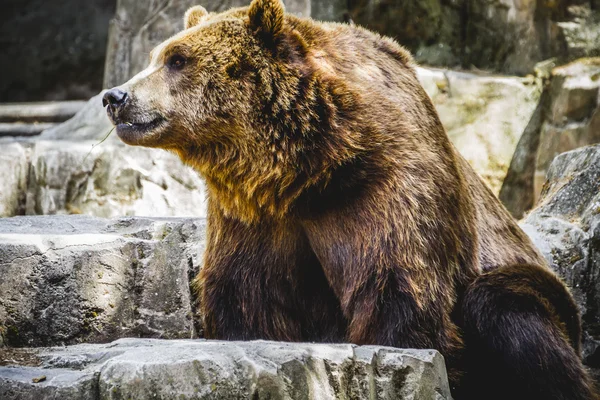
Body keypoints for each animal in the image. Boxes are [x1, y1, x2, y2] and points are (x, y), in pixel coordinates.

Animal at [102, 1, 596, 398]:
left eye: (177, 59)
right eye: (158, 56)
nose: (114, 96)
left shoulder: (388, 188)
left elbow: (397, 290)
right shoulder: (252, 214)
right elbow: (247, 294)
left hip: (545, 294)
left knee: (504, 309)